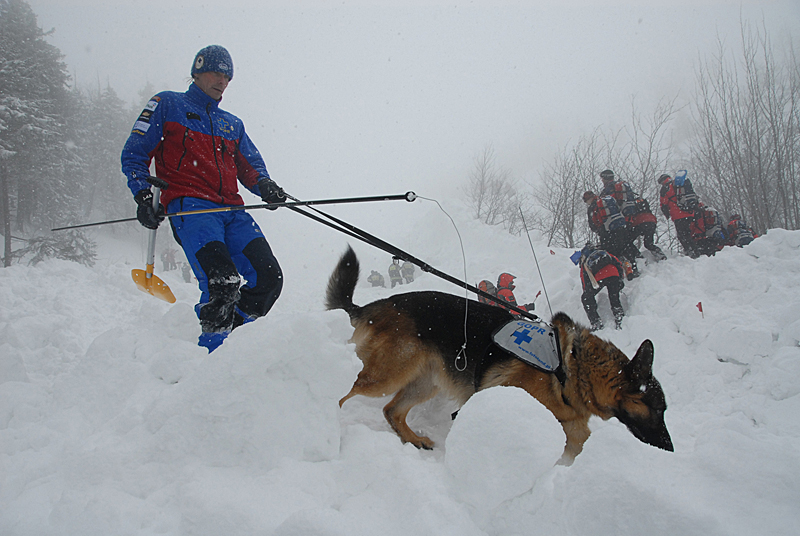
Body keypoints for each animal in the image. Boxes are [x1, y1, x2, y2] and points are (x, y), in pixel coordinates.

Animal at [322, 249, 672, 462]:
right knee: (346, 392)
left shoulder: (570, 423)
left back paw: (414, 439)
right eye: (657, 409)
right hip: (385, 375)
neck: (572, 368)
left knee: (392, 411)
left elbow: (578, 440)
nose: (670, 448)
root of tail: (372, 306)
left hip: (425, 382)